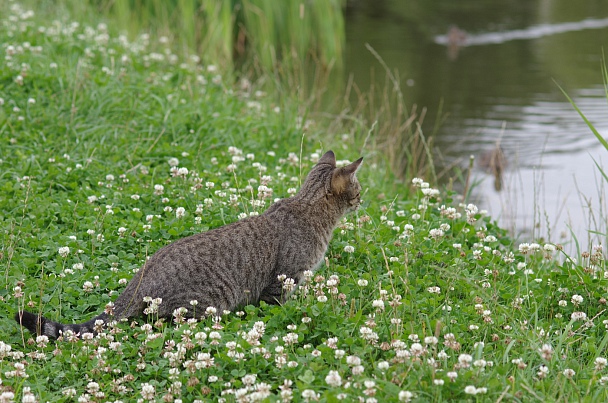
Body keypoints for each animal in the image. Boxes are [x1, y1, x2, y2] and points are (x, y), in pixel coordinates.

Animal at [16, 150, 364, 340]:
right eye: (358, 190)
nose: (364, 200)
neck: (308, 208)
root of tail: (138, 280)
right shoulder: (283, 280)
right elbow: (276, 307)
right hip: (208, 302)